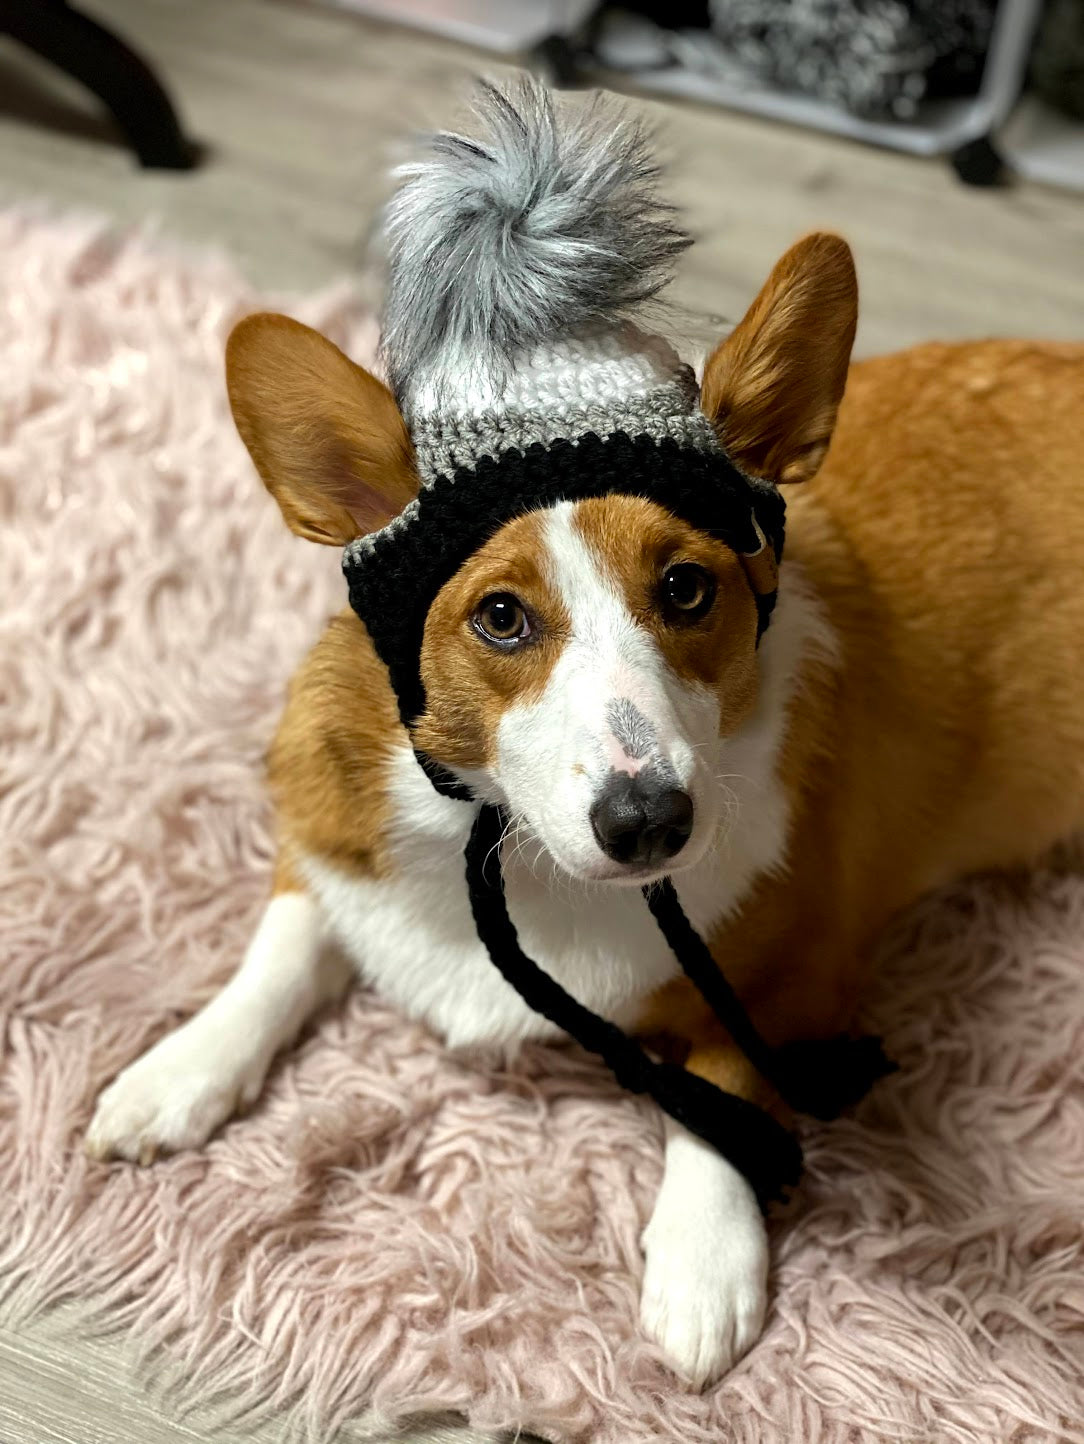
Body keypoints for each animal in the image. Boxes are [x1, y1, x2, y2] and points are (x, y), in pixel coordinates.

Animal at [84, 81, 1084, 1386]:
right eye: (501, 616)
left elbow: (722, 1078)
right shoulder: (329, 846)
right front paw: (178, 1069)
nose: (649, 820)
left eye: (689, 589)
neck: (507, 850)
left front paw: (701, 1264)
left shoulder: (796, 972)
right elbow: (281, 947)